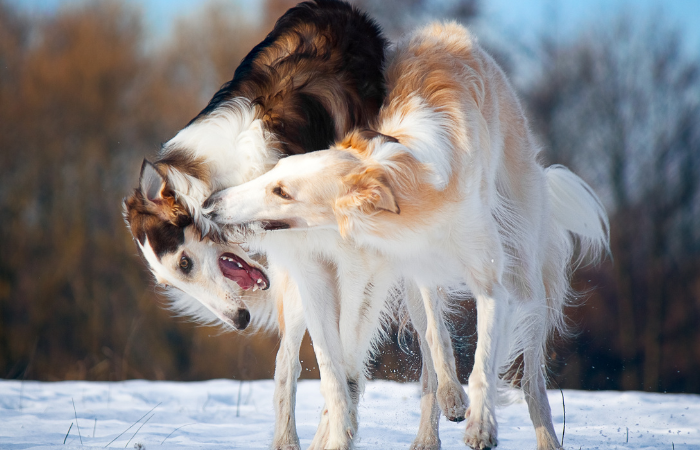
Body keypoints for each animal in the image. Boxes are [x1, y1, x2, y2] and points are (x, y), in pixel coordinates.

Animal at [204, 22, 608, 450]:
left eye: (282, 191)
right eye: (274, 172)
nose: (211, 203)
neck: (414, 182)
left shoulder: (491, 284)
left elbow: (483, 362)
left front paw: (481, 425)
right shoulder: (390, 268)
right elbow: (410, 347)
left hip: (525, 269)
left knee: (531, 375)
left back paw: (538, 433)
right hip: (403, 285)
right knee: (415, 352)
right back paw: (429, 423)